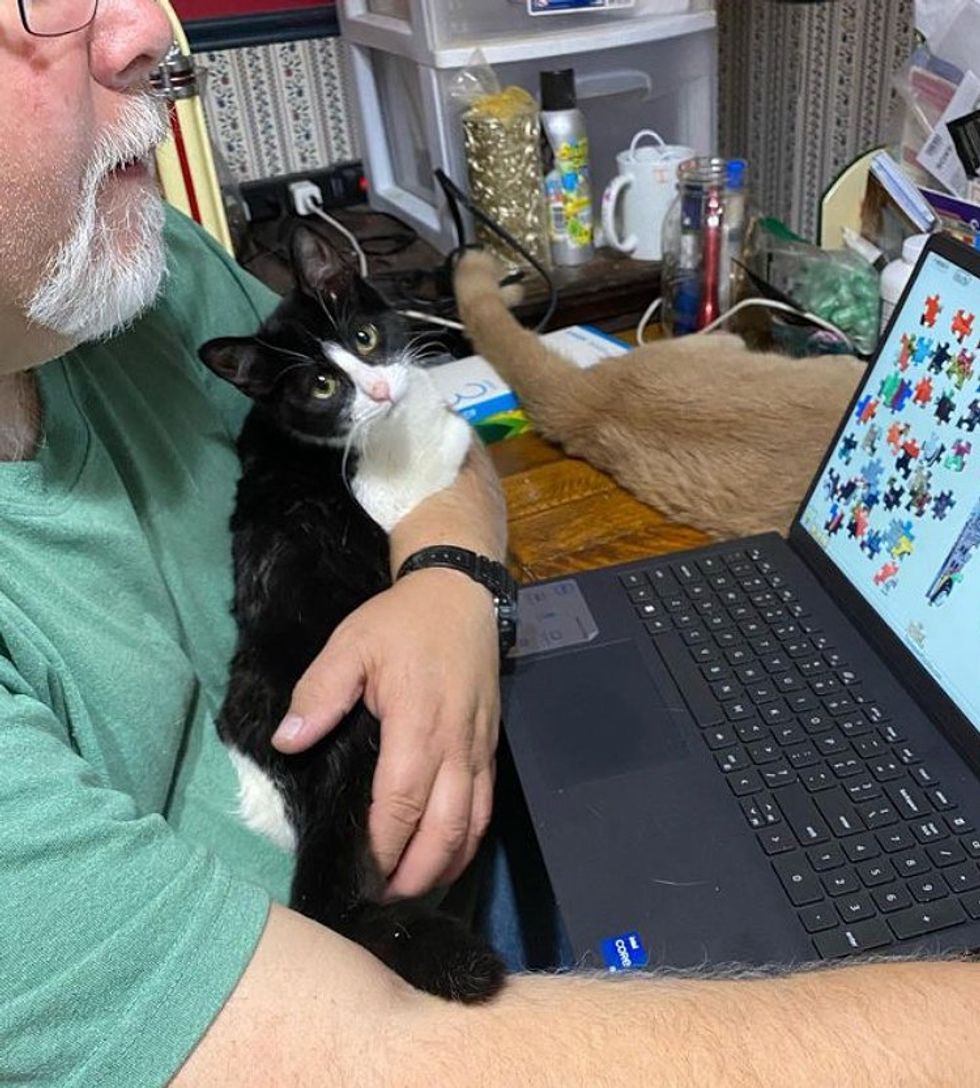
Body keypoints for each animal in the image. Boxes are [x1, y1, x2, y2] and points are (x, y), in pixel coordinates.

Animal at [200, 227, 504, 1000]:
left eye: (364, 337)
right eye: (321, 385)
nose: (381, 389)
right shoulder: (375, 491)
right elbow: (434, 461)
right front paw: (449, 424)